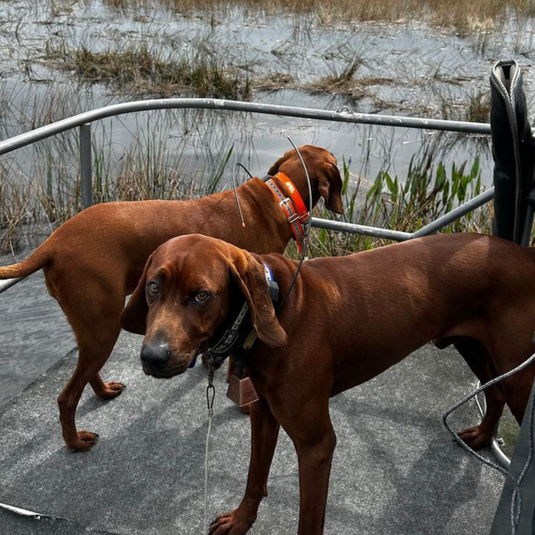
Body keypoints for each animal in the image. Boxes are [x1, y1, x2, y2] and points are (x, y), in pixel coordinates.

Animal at [0, 146, 344, 452]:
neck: (278, 197)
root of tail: (52, 243)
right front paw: (244, 403)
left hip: (91, 325)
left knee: (84, 373)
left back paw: (103, 391)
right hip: (104, 327)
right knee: (66, 396)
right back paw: (75, 442)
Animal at [120, 233, 535, 535]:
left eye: (202, 295)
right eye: (154, 286)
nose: (153, 358)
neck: (275, 308)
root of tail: (526, 254)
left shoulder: (316, 445)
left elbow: (308, 520)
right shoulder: (264, 414)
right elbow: (254, 477)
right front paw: (241, 521)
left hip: (519, 376)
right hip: (475, 347)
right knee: (494, 389)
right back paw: (483, 436)